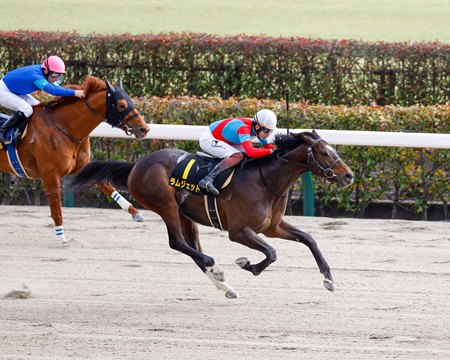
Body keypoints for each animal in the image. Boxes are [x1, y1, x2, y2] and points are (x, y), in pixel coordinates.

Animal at [0, 76, 150, 245]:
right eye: (121, 105)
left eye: (131, 101)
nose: (144, 129)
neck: (64, 128)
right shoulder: (50, 174)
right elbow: (56, 207)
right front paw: (61, 236)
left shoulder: (82, 167)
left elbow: (107, 186)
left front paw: (136, 213)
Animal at [72, 129, 356, 298]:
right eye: (323, 152)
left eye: (334, 149)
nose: (349, 176)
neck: (266, 181)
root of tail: (136, 166)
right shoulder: (238, 231)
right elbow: (272, 253)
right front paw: (248, 264)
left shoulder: (272, 227)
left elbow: (309, 238)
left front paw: (329, 279)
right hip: (166, 205)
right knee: (177, 243)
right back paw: (216, 267)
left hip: (186, 214)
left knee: (191, 247)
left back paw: (224, 284)